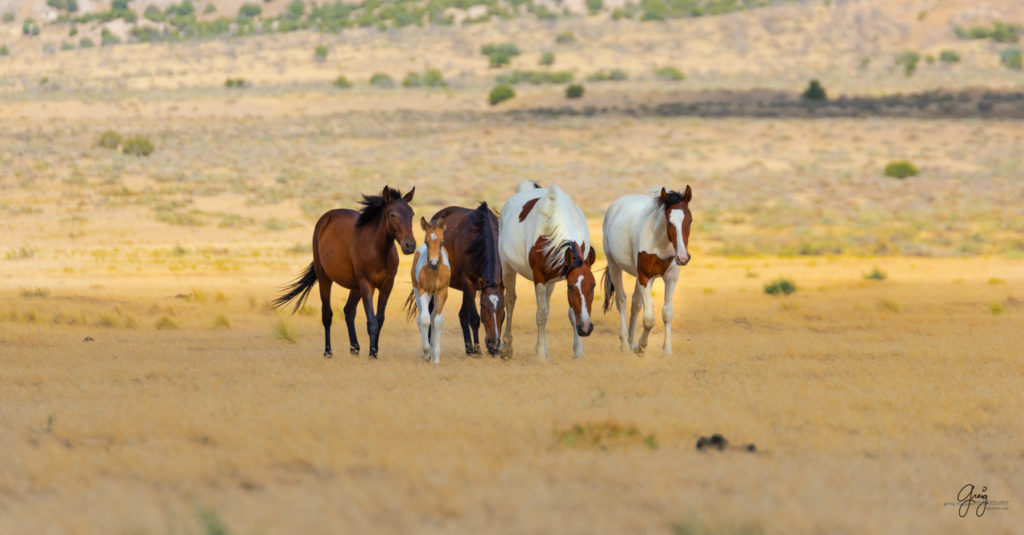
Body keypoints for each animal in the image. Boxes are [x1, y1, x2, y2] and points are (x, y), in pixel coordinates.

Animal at [274, 185, 417, 356]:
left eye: (411, 214)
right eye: (392, 214)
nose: (410, 245)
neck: (377, 250)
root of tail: (325, 219)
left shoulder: (387, 286)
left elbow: (380, 319)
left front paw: (374, 351)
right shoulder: (367, 284)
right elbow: (372, 321)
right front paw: (371, 354)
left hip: (355, 287)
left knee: (349, 311)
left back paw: (354, 348)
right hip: (325, 279)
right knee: (327, 314)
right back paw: (328, 351)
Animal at [401, 216, 450, 362]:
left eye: (442, 242)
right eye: (426, 242)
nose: (434, 264)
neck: (434, 273)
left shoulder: (442, 293)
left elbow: (437, 321)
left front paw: (436, 357)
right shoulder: (424, 292)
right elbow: (424, 319)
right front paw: (427, 352)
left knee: (433, 317)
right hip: (417, 292)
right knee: (420, 318)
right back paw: (425, 352)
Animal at [425, 201, 501, 356]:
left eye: (501, 307)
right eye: (483, 305)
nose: (494, 343)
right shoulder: (469, 284)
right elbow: (474, 318)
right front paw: (477, 349)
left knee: (462, 315)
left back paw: (468, 348)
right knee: (431, 311)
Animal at [497, 179, 598, 358]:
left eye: (593, 285)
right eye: (570, 287)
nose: (586, 328)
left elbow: (571, 314)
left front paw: (578, 351)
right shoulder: (540, 279)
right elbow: (541, 314)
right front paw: (540, 352)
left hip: (551, 282)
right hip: (508, 268)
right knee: (510, 302)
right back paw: (507, 346)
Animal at [602, 185, 692, 356]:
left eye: (690, 220)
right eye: (668, 220)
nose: (683, 257)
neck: (660, 243)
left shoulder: (671, 277)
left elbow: (667, 313)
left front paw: (667, 350)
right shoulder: (645, 277)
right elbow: (649, 318)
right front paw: (641, 345)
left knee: (635, 303)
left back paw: (631, 342)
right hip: (614, 265)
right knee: (621, 300)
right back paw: (625, 344)